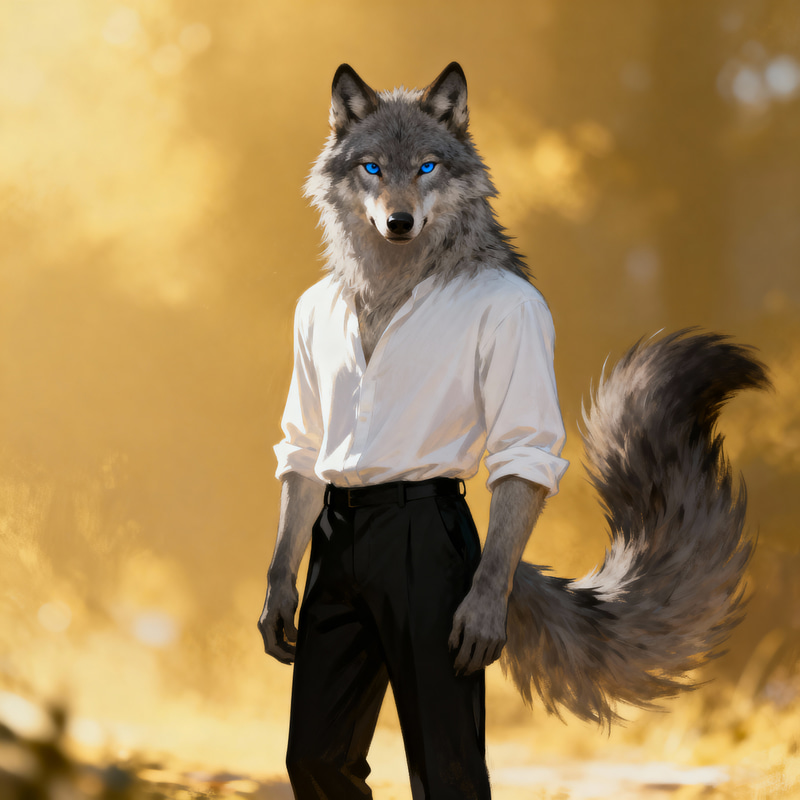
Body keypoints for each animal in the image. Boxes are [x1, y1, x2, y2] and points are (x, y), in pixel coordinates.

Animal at [259, 62, 769, 798]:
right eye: (372, 167)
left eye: (428, 165)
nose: (399, 222)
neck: (390, 285)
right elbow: (301, 456)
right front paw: (276, 605)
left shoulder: (524, 342)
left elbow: (522, 452)